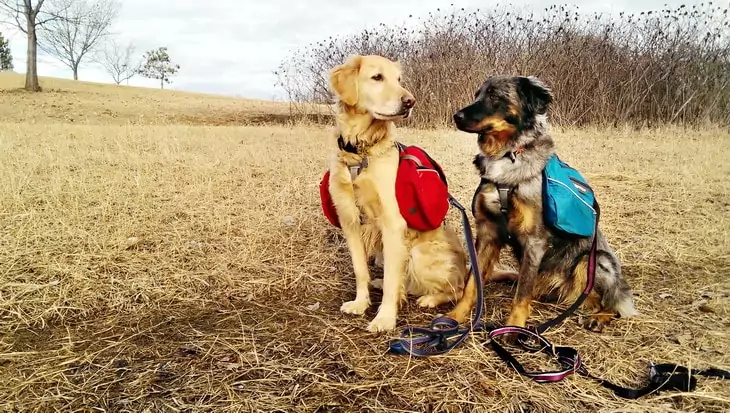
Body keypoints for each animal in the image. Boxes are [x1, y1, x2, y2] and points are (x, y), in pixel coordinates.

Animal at [324, 54, 466, 332]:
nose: (410, 101)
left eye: (399, 79)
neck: (360, 152)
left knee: (457, 289)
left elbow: (392, 279)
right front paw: (360, 303)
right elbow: (360, 270)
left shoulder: (392, 223)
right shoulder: (349, 221)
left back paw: (431, 298)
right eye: (377, 77)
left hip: (419, 254)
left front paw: (385, 318)